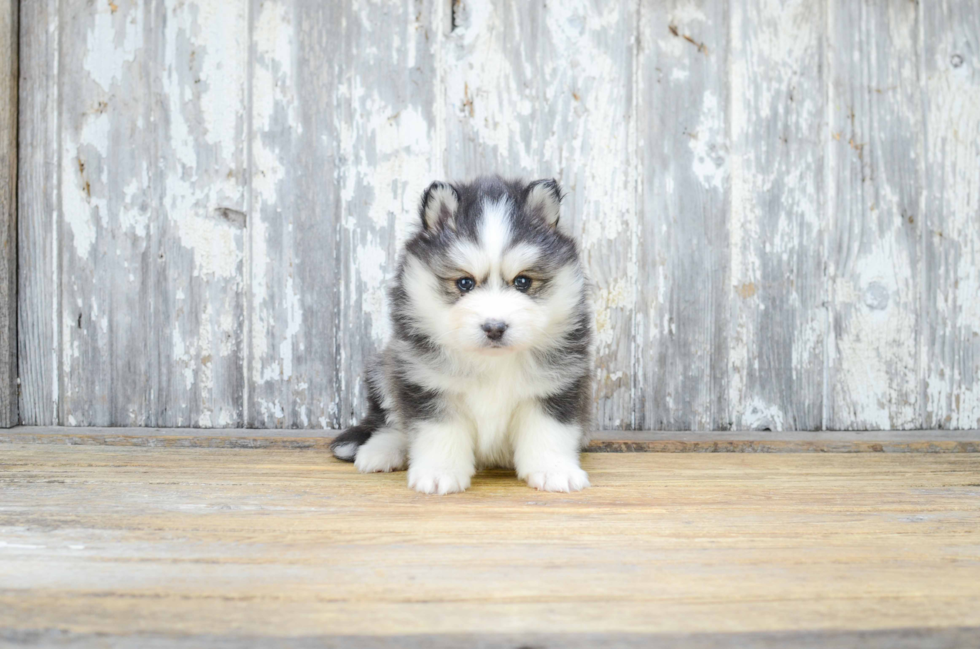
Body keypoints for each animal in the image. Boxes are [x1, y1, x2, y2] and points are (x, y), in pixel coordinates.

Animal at [330, 175, 592, 494]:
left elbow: (549, 431)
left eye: (522, 282)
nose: (495, 327)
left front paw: (554, 470)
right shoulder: (427, 381)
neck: (492, 362)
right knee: (392, 423)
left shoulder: (557, 384)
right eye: (465, 283)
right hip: (385, 367)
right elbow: (439, 432)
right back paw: (381, 451)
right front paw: (439, 472)